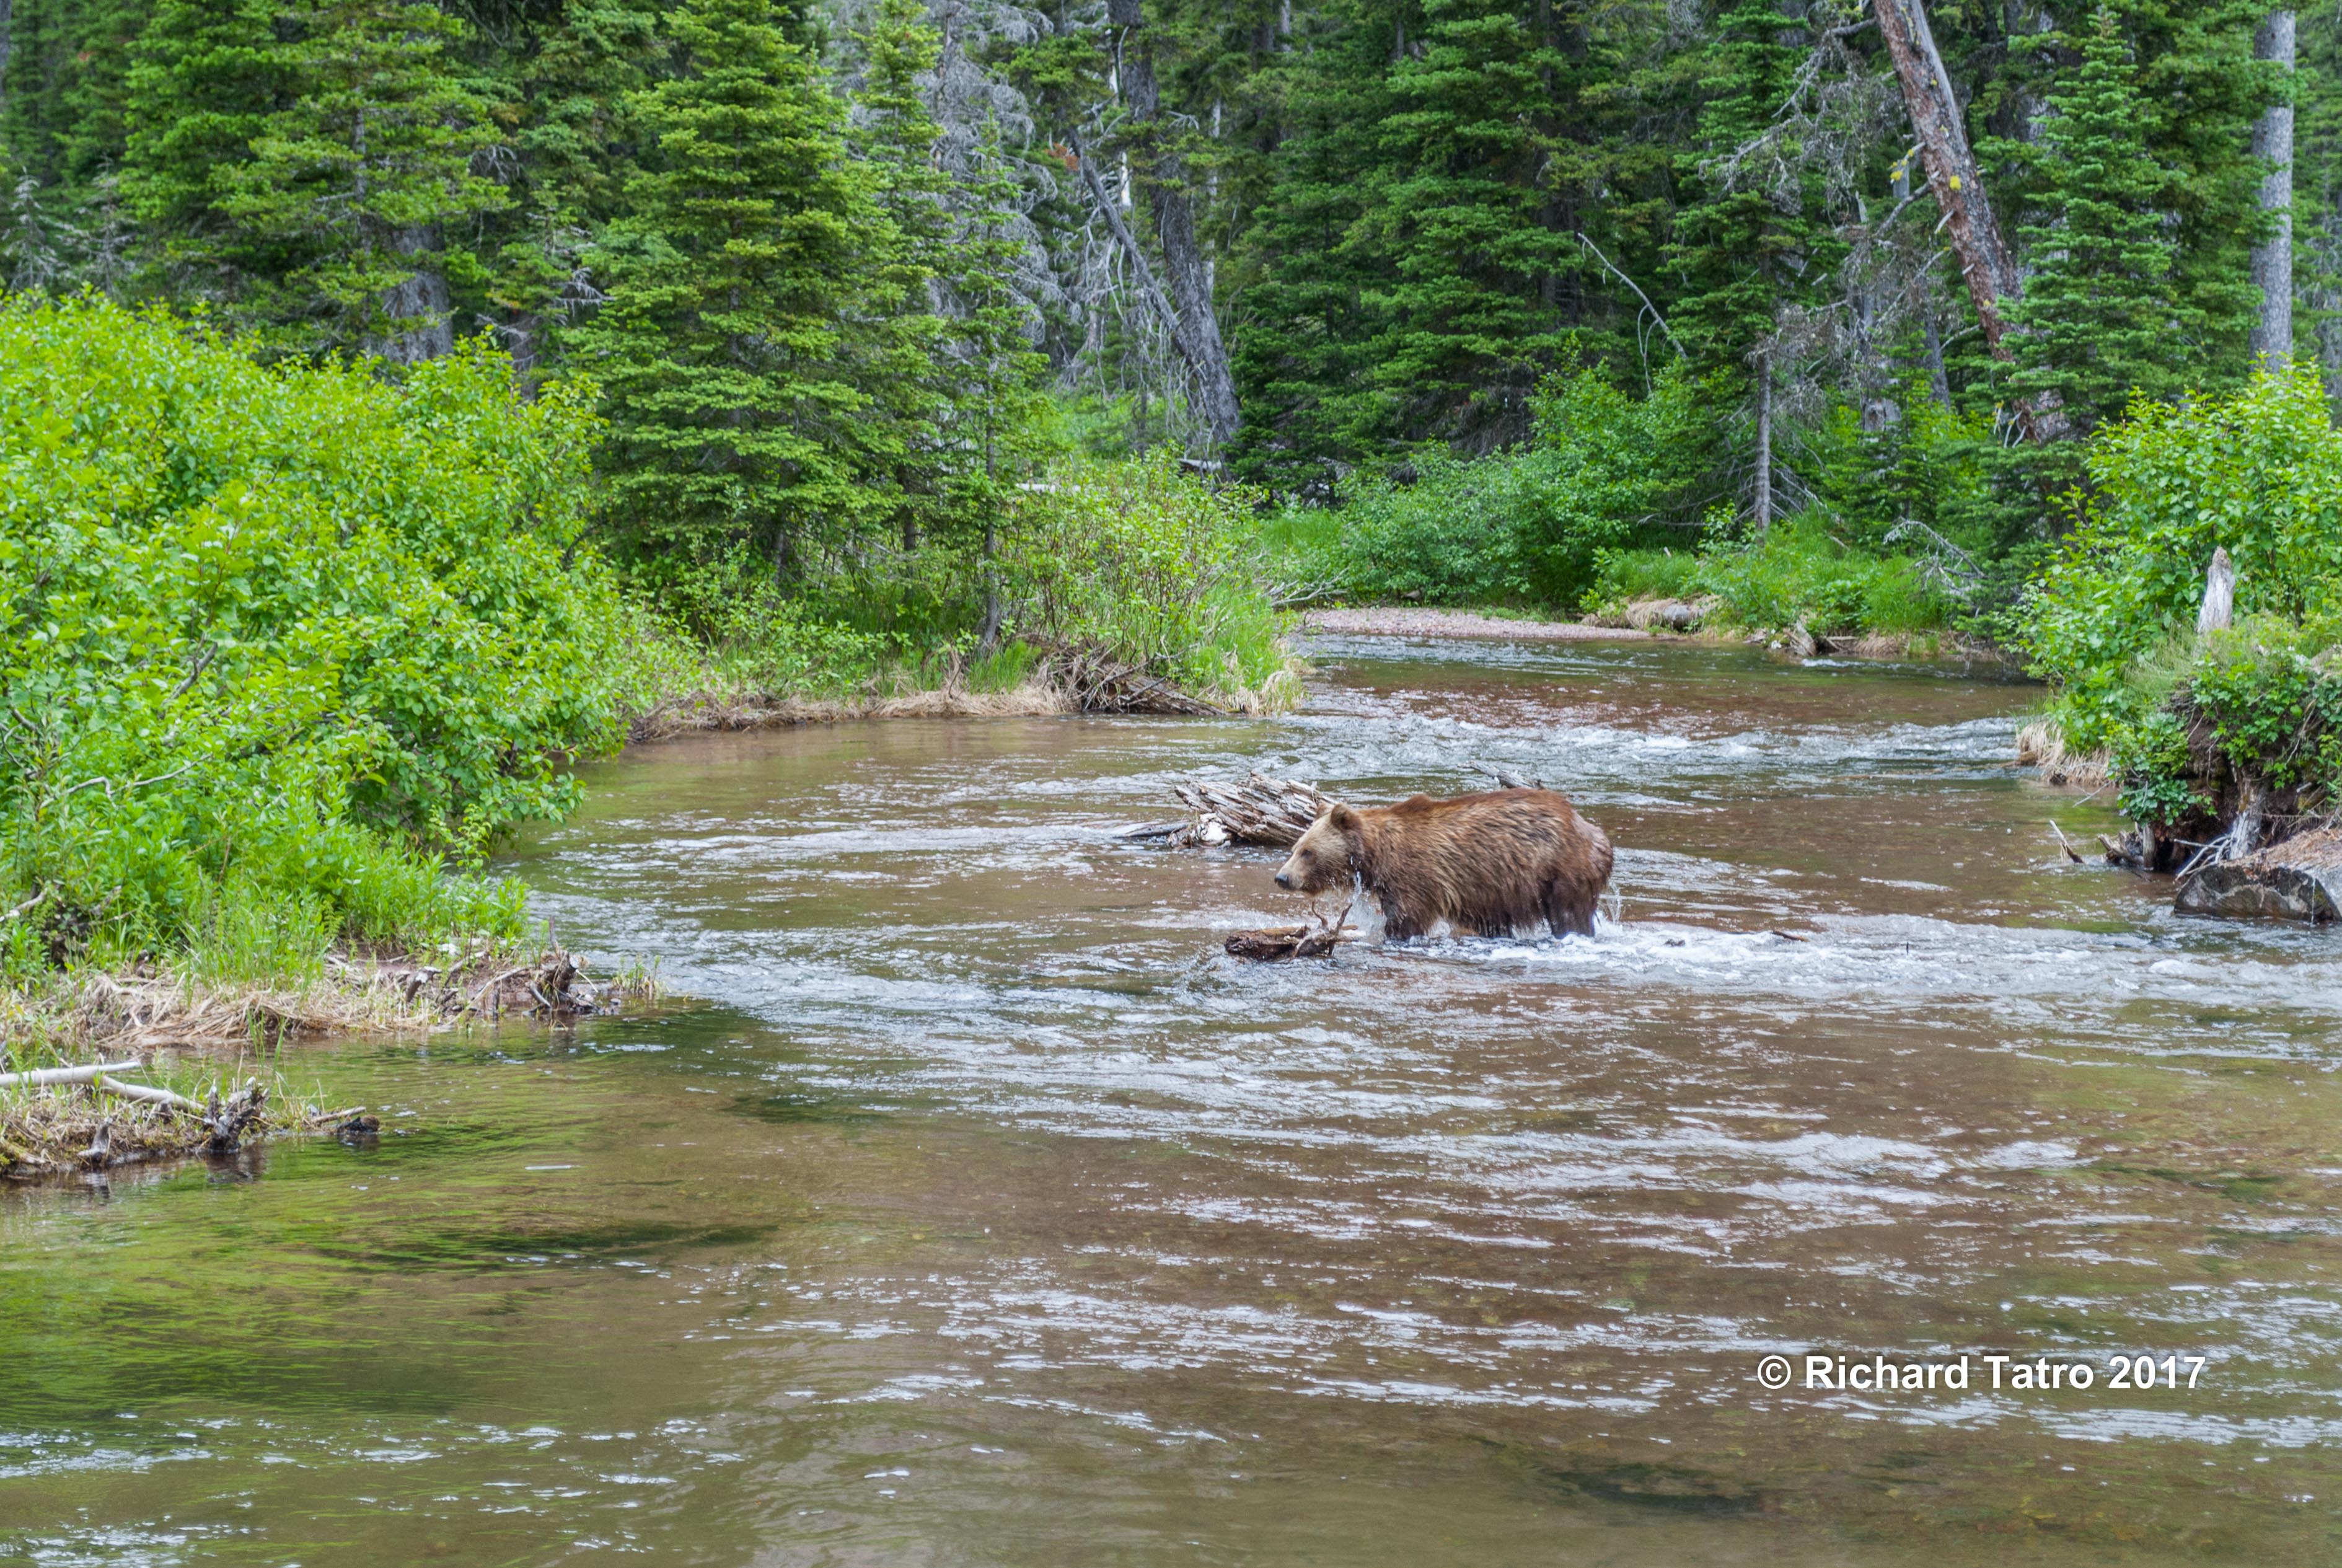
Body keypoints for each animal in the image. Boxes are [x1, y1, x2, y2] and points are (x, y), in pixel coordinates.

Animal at [1272, 788, 1613, 940]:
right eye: (1295, 848)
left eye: (1308, 852)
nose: (1282, 878)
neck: (1377, 856)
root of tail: (1594, 831)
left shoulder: (1416, 877)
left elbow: (1407, 918)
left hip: (1562, 871)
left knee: (1569, 915)